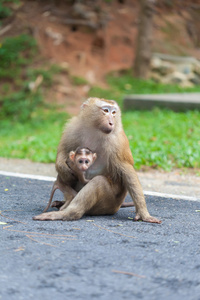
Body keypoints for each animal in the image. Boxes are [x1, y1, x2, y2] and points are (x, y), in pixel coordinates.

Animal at [32, 97, 161, 224]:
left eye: (114, 112)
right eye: (105, 110)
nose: (111, 122)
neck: (95, 129)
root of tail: (117, 207)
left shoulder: (117, 142)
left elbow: (127, 171)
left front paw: (143, 213)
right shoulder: (72, 128)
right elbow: (64, 152)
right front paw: (62, 167)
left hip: (107, 204)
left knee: (98, 182)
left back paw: (68, 213)